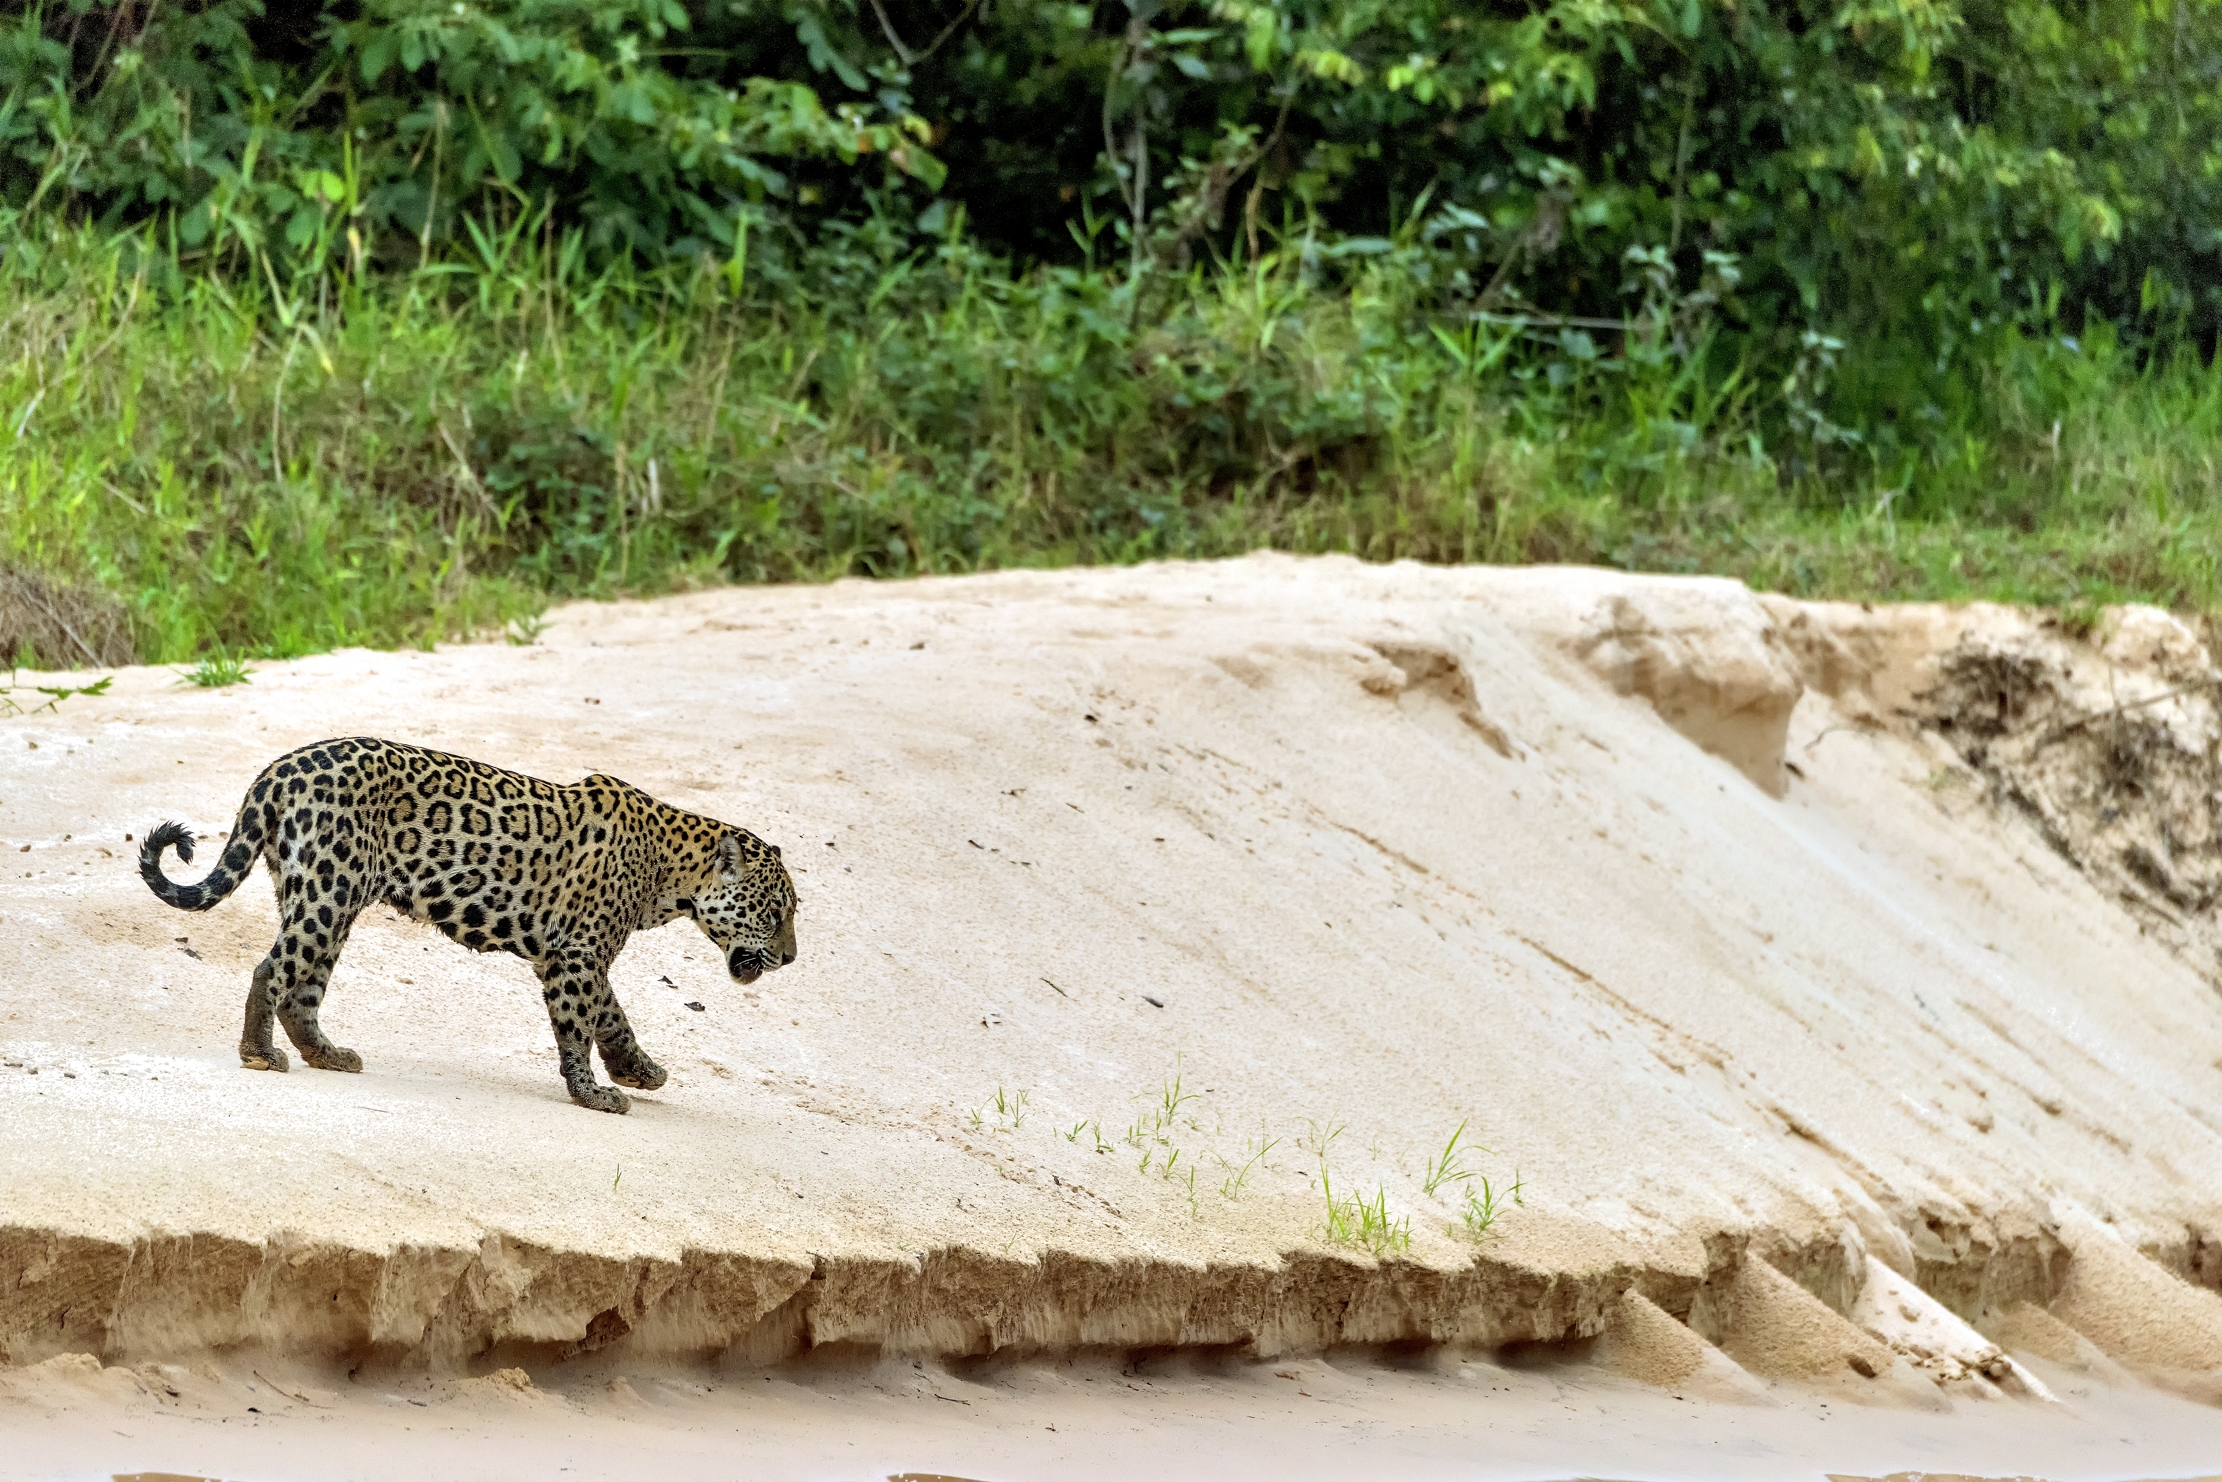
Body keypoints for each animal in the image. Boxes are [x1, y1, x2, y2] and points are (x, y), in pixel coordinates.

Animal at [137, 736, 798, 1113]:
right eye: (776, 912)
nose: (790, 958)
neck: (671, 871)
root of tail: (274, 770)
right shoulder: (577, 955)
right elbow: (580, 1026)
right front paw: (592, 1093)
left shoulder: (572, 954)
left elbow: (612, 1016)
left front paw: (639, 1071)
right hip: (329, 892)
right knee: (270, 968)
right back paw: (258, 1054)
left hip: (325, 897)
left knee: (303, 988)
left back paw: (327, 1055)